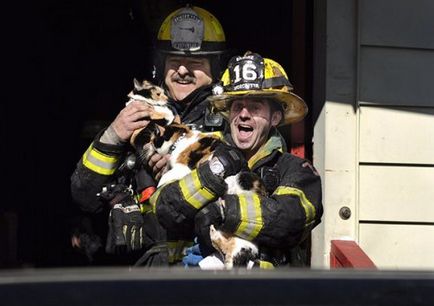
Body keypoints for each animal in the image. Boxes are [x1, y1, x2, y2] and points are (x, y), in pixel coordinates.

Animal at [127, 78, 266, 268]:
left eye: (155, 137)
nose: (150, 144)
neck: (180, 137)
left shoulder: (182, 166)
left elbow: (168, 174)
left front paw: (161, 183)